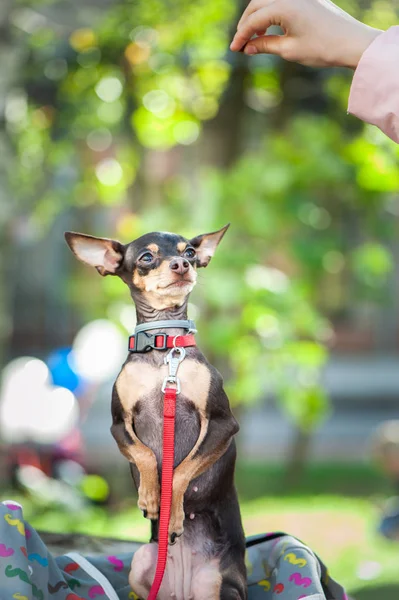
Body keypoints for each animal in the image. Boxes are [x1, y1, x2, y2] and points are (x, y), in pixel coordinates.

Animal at [65, 226, 247, 600]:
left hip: (219, 584)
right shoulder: (119, 426)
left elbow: (179, 473)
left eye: (189, 252)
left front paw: (171, 514)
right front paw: (150, 496)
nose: (181, 264)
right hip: (141, 563)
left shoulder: (223, 425)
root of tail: (183, 589)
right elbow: (146, 454)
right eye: (147, 257)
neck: (164, 348)